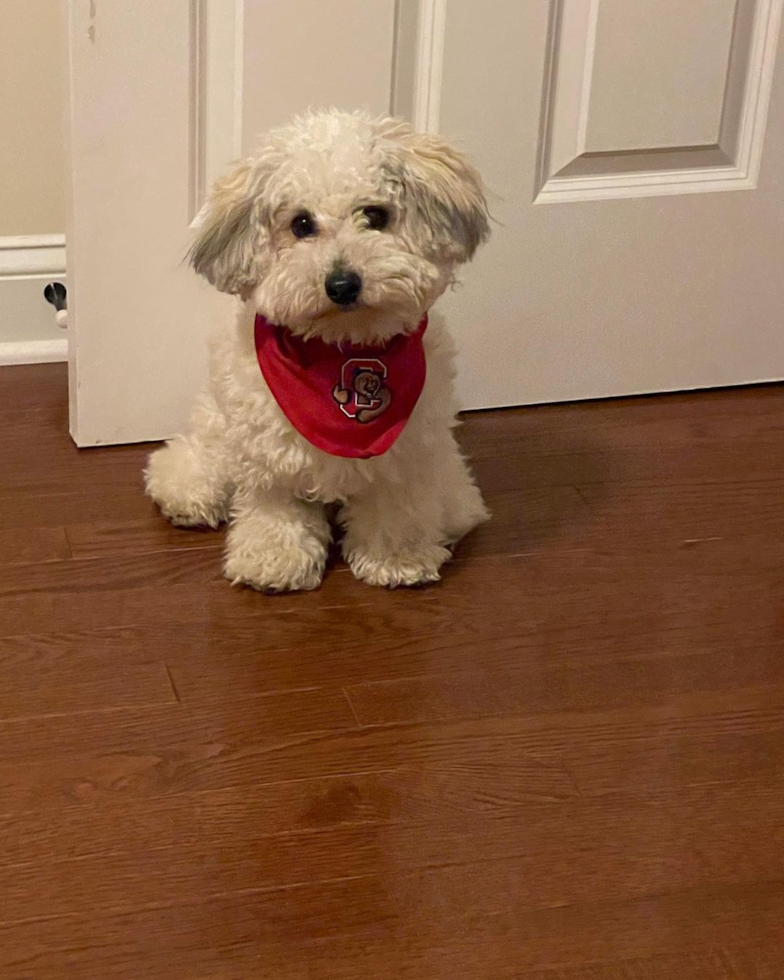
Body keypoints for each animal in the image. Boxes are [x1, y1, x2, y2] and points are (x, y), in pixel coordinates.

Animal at [142, 111, 490, 592]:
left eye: (375, 215)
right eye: (301, 224)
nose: (342, 283)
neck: (340, 353)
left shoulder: (406, 457)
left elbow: (396, 510)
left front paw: (397, 558)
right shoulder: (269, 455)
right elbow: (276, 510)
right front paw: (273, 559)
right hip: (216, 430)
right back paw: (189, 493)